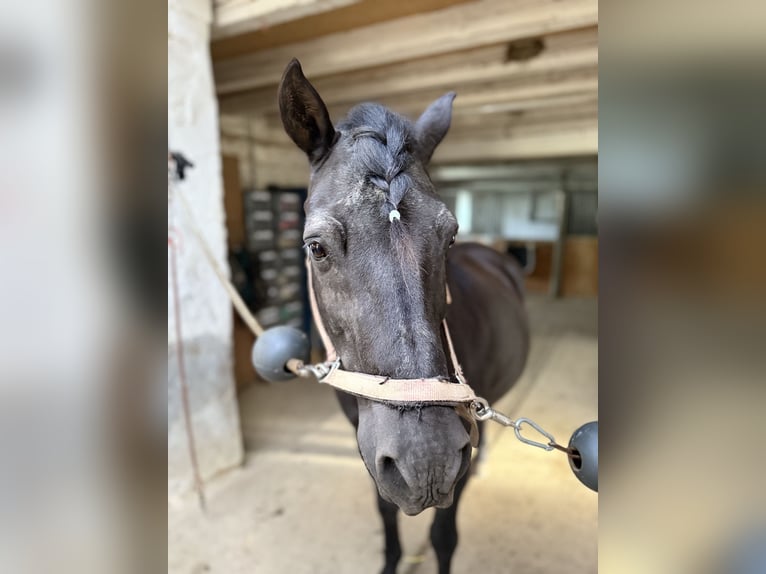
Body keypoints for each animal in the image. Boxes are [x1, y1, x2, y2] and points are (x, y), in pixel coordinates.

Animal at [278, 59, 529, 574]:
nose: (427, 460)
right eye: (316, 247)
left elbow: (443, 535)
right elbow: (385, 509)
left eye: (450, 236)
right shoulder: (370, 447)